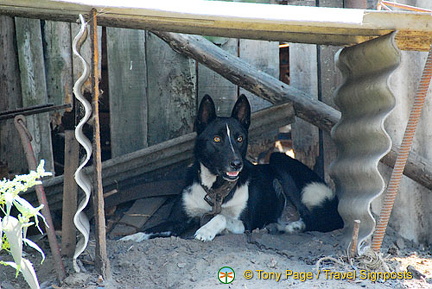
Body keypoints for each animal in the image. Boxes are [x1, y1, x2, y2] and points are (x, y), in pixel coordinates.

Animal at [122, 94, 344, 241]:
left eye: (239, 138)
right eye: (217, 139)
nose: (237, 163)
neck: (215, 188)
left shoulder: (244, 223)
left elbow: (221, 216)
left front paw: (206, 230)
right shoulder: (178, 219)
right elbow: (151, 229)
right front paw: (130, 238)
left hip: (280, 161)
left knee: (316, 220)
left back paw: (295, 226)